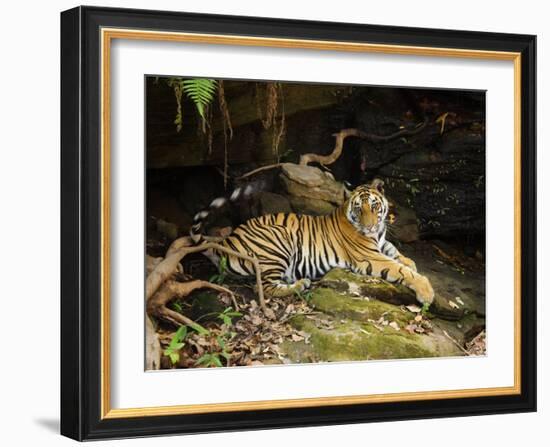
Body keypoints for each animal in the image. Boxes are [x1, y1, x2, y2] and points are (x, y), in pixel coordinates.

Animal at [192, 180, 438, 306]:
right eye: (359, 208)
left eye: (375, 206)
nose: (369, 227)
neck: (376, 233)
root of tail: (227, 240)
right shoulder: (369, 256)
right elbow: (401, 269)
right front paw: (426, 292)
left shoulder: (381, 243)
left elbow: (395, 252)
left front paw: (409, 261)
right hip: (278, 239)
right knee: (264, 287)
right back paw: (301, 284)